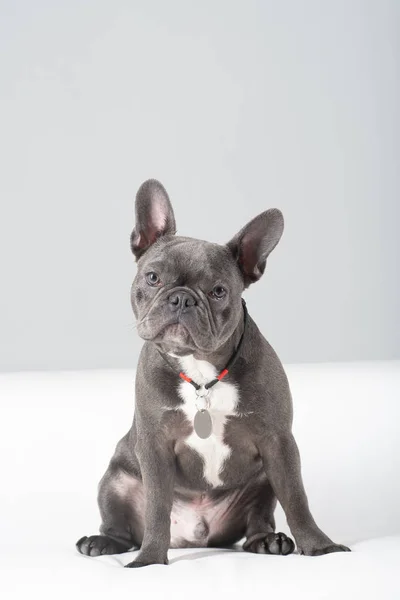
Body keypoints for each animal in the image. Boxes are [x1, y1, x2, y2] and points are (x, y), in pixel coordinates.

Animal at [76, 179, 350, 568]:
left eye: (218, 291)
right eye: (153, 277)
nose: (181, 298)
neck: (202, 372)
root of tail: (194, 537)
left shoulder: (279, 442)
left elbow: (297, 499)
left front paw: (320, 547)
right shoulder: (154, 445)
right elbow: (156, 507)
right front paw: (149, 560)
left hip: (262, 481)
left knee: (259, 519)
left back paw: (269, 541)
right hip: (114, 480)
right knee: (122, 528)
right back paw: (101, 543)